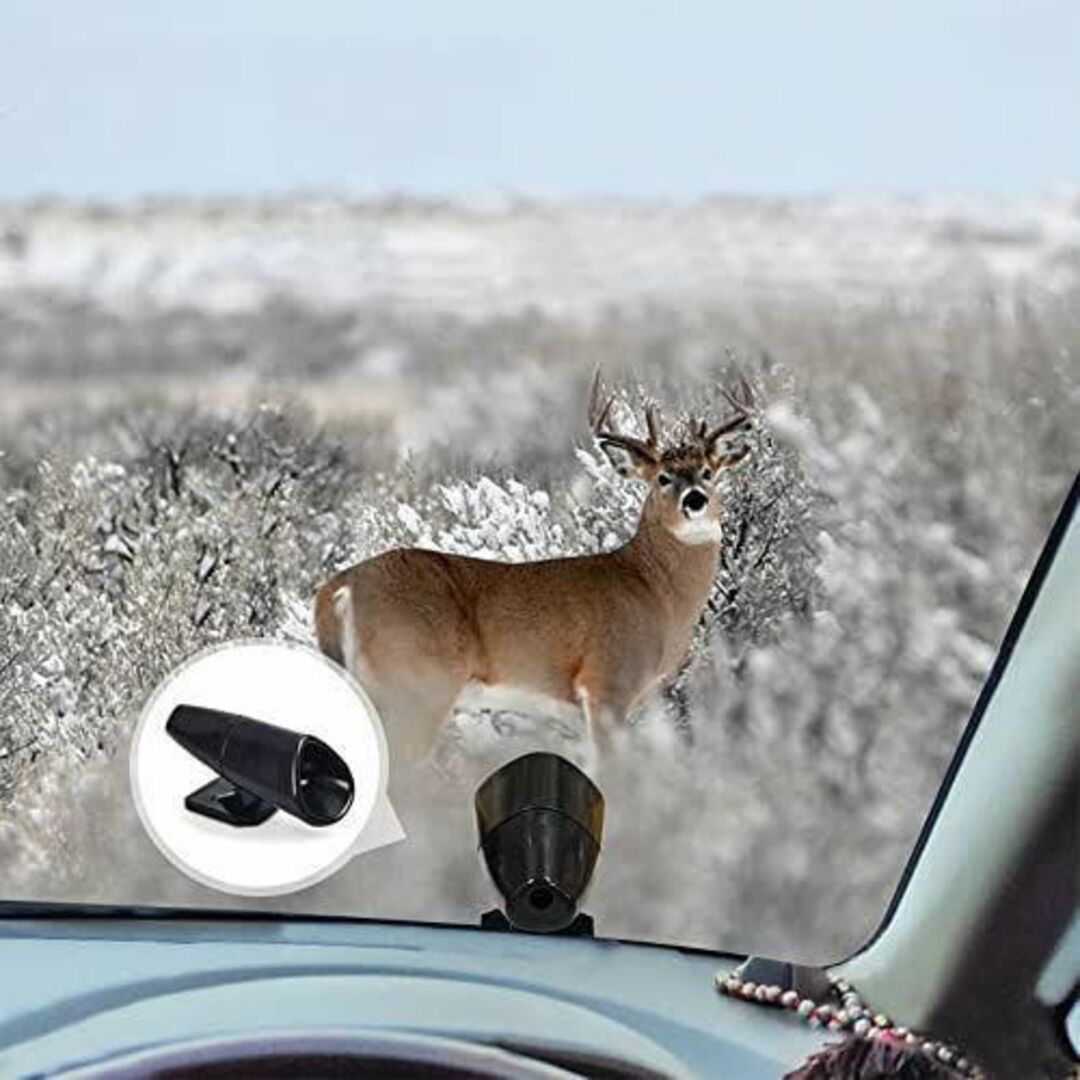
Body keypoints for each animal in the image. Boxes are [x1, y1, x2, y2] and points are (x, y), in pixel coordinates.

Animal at [313, 375, 751, 764]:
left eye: (708, 472)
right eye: (662, 477)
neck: (655, 592)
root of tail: (339, 588)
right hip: (415, 682)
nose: (694, 499)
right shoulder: (606, 683)